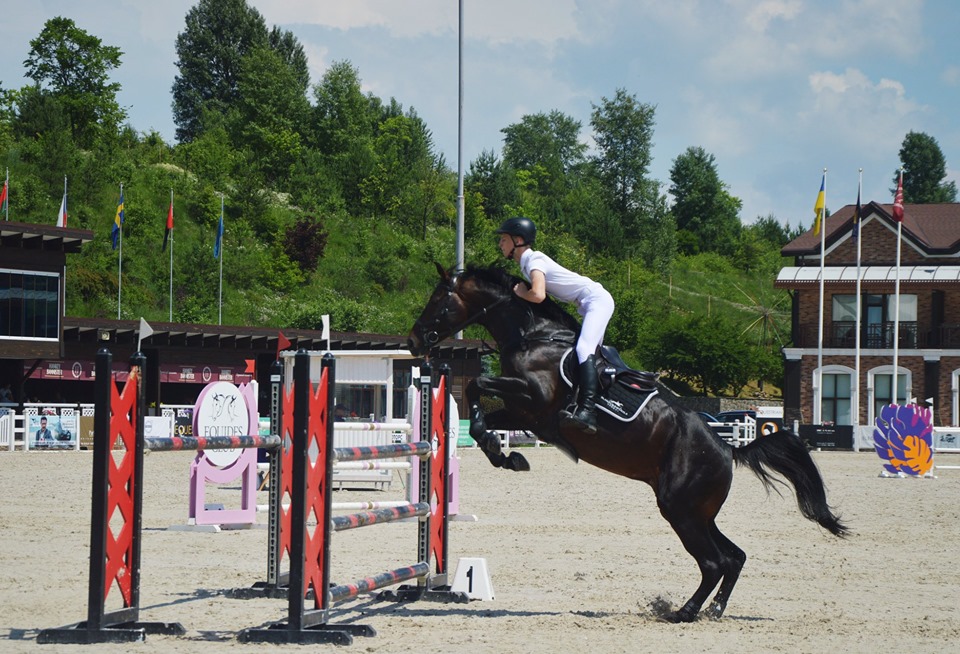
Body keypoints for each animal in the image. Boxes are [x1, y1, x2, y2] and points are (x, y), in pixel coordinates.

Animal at [407, 263, 848, 623]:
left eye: (438, 298)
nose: (413, 341)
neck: (532, 336)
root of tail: (728, 448)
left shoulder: (533, 398)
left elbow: (478, 385)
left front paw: (506, 453)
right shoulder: (529, 415)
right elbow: (485, 417)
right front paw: (507, 456)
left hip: (680, 510)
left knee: (713, 562)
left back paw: (684, 612)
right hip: (697, 512)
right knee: (733, 557)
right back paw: (715, 610)